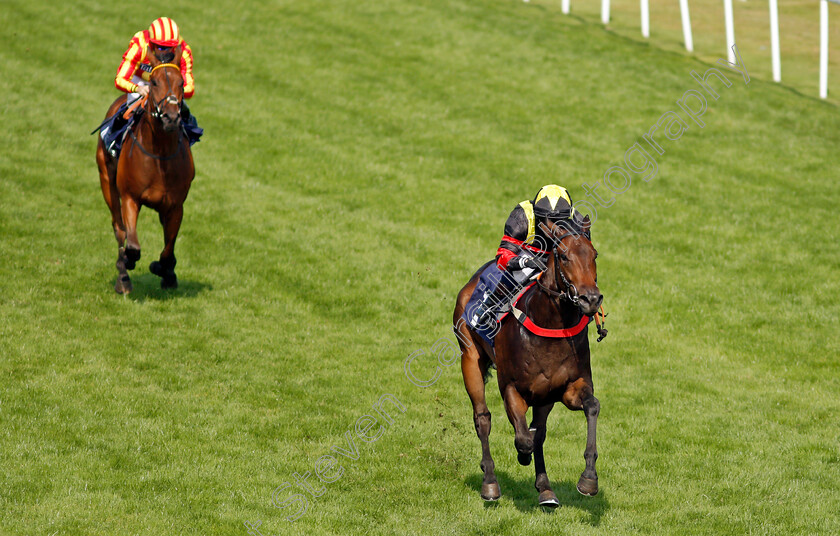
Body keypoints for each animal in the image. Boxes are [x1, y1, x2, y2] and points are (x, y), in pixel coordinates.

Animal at [95, 47, 194, 294]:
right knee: (118, 227)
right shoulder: (131, 198)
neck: (160, 155)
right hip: (106, 180)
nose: (171, 117)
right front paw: (128, 263)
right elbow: (132, 245)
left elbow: (168, 250)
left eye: (181, 83)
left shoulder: (175, 205)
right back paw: (123, 276)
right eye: (155, 82)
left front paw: (165, 271)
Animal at [452, 218, 604, 506]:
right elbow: (523, 438)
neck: (551, 324)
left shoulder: (567, 388)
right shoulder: (512, 387)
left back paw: (545, 489)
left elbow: (591, 407)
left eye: (594, 255)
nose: (590, 299)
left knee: (539, 431)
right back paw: (490, 482)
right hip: (469, 357)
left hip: (544, 397)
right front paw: (521, 456)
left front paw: (588, 479)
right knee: (483, 418)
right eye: (564, 256)